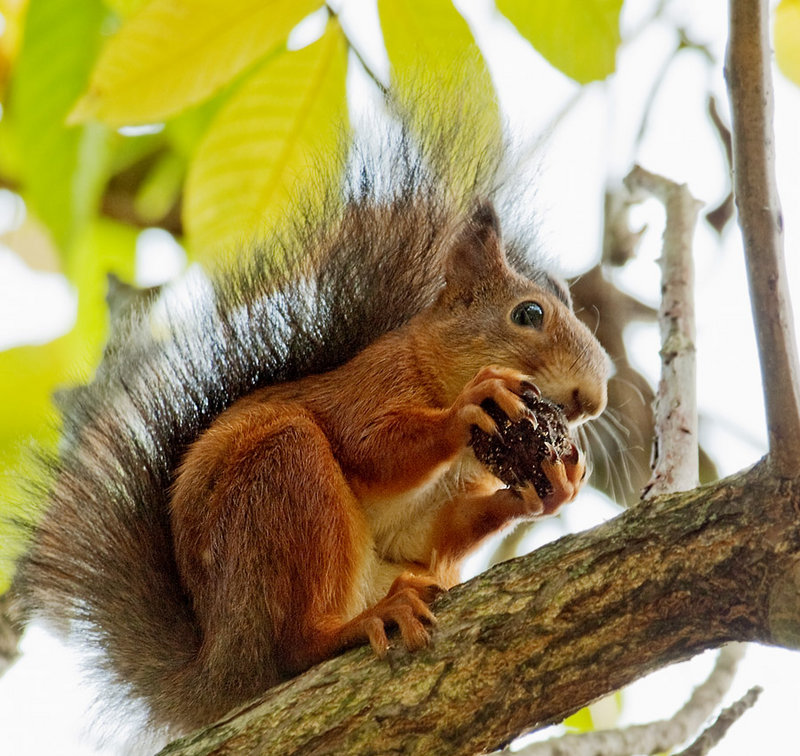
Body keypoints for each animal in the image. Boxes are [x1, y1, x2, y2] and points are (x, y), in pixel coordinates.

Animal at [12, 139, 608, 736]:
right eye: (528, 313)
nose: (594, 400)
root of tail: (225, 666)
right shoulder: (370, 389)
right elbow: (374, 448)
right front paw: (470, 405)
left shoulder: (424, 524)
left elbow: (425, 537)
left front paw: (549, 486)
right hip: (284, 479)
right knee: (297, 646)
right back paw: (362, 622)